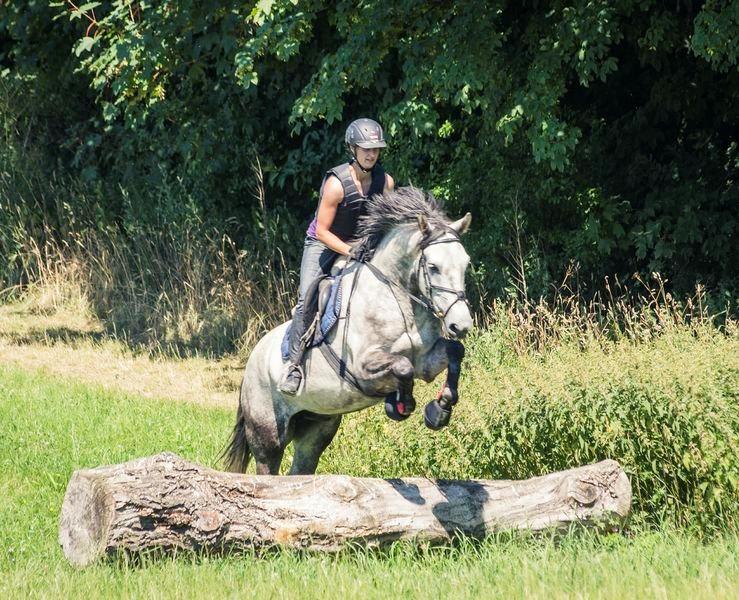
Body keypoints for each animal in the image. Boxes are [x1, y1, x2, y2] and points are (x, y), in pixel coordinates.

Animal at [223, 185, 474, 476]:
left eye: (465, 264)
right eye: (433, 267)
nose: (460, 324)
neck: (400, 301)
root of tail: (251, 362)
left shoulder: (426, 361)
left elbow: (454, 351)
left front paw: (439, 409)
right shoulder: (362, 367)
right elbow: (403, 366)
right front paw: (401, 404)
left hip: (317, 427)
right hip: (268, 435)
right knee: (269, 467)